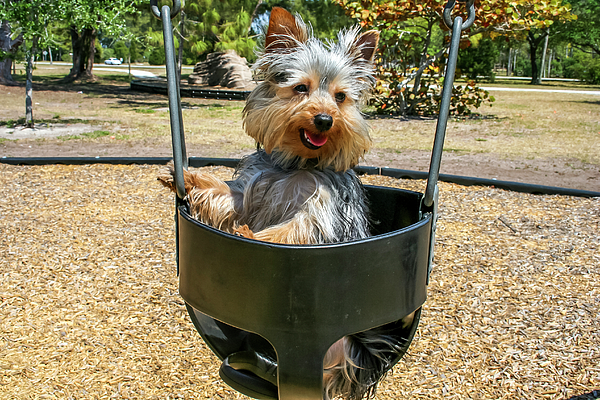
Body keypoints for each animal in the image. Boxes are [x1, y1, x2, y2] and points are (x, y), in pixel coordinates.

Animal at [157, 7, 414, 400]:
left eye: (340, 97)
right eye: (300, 88)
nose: (324, 118)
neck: (295, 166)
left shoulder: (320, 213)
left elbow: (290, 231)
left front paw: (252, 236)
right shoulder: (250, 192)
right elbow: (225, 195)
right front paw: (186, 176)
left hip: (340, 351)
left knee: (326, 372)